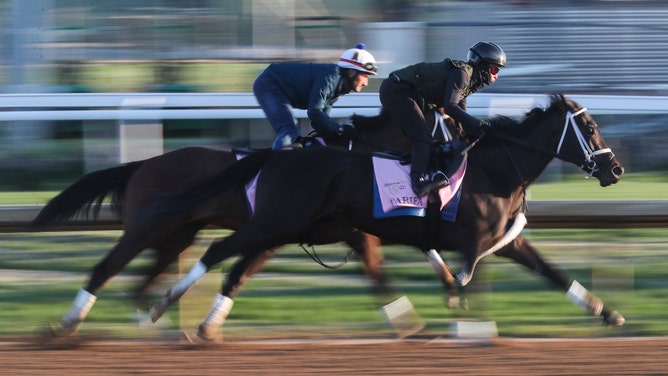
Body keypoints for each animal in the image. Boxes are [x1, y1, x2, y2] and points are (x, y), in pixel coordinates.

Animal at [150, 94, 628, 340]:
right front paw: (460, 313)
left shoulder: (506, 241)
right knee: (218, 250)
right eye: (589, 129)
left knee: (237, 264)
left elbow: (552, 272)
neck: (496, 168)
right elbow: (462, 276)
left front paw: (606, 312)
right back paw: (161, 305)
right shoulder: (471, 241)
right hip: (277, 222)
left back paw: (199, 320)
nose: (616, 169)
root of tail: (282, 152)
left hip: (283, 225)